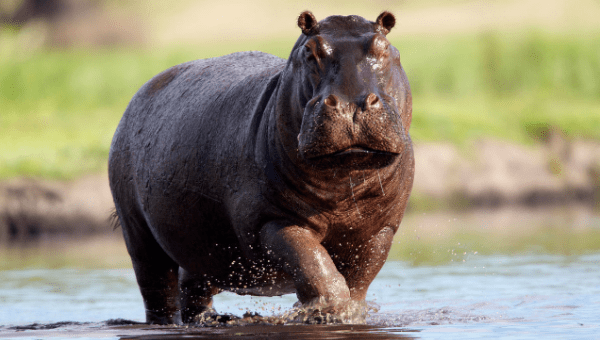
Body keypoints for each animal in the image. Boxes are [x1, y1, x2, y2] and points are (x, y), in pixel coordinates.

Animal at [108, 9, 412, 324]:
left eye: (385, 48)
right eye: (309, 51)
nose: (350, 105)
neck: (343, 183)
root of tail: (140, 92)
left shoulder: (381, 230)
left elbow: (358, 279)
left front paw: (345, 313)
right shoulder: (271, 220)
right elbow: (311, 262)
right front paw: (328, 310)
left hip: (201, 244)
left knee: (193, 285)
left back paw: (213, 319)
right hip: (138, 235)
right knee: (157, 290)